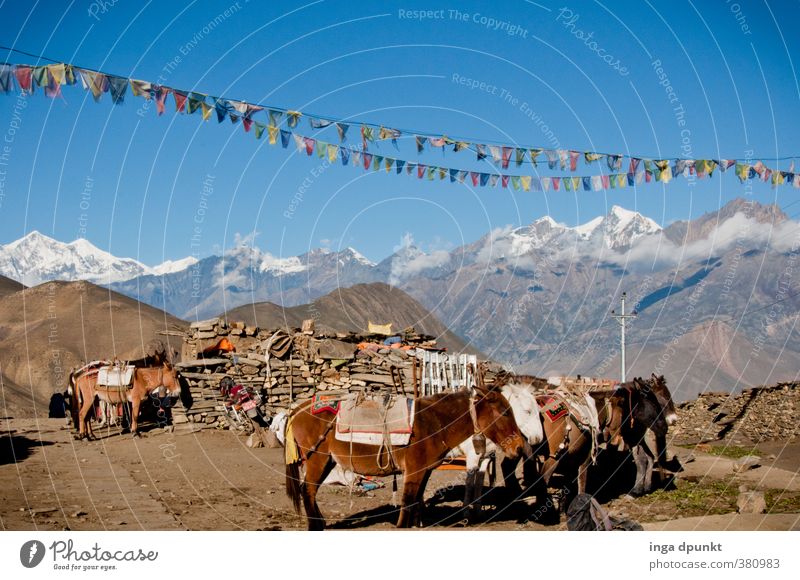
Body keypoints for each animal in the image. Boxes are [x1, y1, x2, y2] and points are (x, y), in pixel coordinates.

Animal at [284, 386, 528, 532]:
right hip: (317, 460)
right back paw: (316, 526)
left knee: (309, 490)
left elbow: (416, 501)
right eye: (505, 412)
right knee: (308, 490)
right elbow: (408, 500)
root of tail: (297, 410)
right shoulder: (414, 470)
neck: (434, 422)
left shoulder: (425, 471)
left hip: (328, 461)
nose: (519, 446)